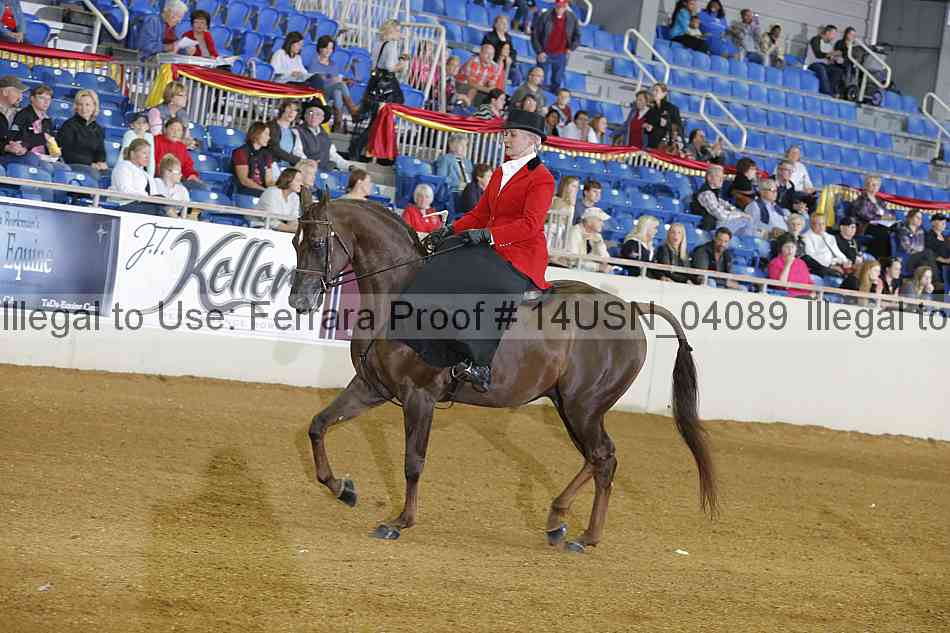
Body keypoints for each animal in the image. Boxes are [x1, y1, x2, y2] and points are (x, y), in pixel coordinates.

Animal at [288, 195, 717, 552]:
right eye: (295, 241)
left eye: (319, 243)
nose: (299, 300)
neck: (398, 298)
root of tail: (630, 308)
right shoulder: (372, 386)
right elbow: (318, 424)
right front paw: (342, 488)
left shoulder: (419, 396)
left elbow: (413, 461)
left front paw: (400, 521)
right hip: (570, 407)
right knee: (598, 459)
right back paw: (560, 523)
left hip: (584, 407)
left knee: (603, 457)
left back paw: (582, 534)